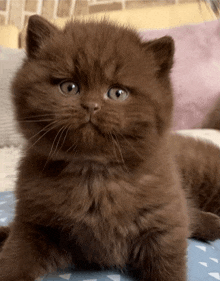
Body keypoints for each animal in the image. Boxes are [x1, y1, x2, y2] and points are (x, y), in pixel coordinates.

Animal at [0, 15, 219, 280]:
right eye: (69, 87)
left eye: (117, 93)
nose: (91, 106)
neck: (93, 175)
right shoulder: (33, 222)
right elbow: (15, 256)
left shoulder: (163, 222)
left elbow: (169, 260)